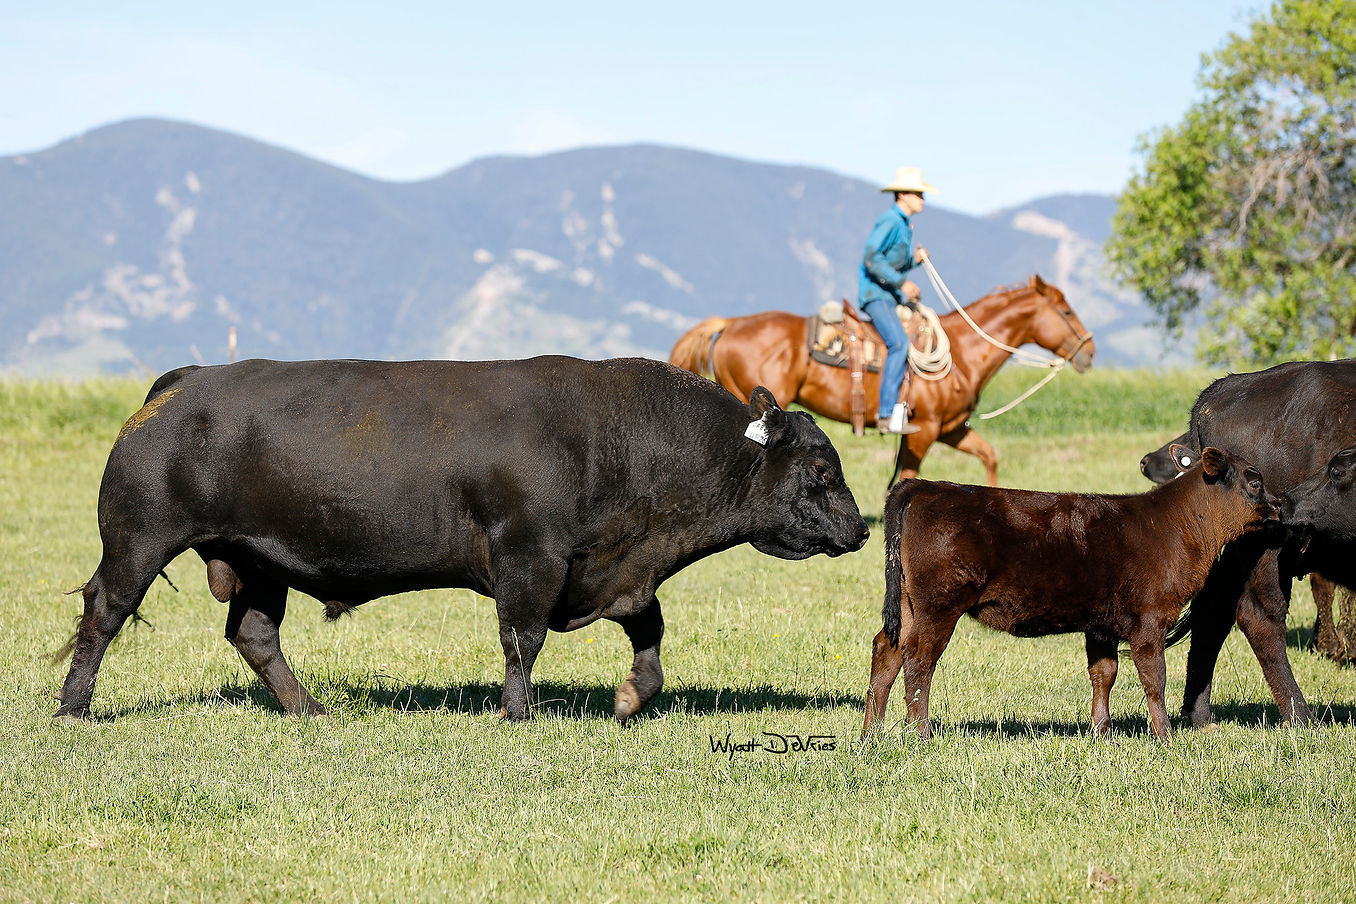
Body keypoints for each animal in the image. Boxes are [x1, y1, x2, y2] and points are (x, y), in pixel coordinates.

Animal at [55, 357, 870, 724]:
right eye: (821, 469)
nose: (862, 529)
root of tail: (184, 380)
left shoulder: (616, 569)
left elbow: (651, 632)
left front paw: (630, 696)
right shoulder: (529, 556)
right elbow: (522, 637)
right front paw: (517, 713)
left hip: (258, 561)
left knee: (253, 634)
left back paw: (307, 709)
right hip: (137, 542)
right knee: (103, 614)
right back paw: (73, 708)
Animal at [862, 446, 1280, 741]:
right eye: (1254, 482)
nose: (1279, 505)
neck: (1172, 525)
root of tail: (927, 486)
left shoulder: (1101, 625)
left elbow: (1104, 674)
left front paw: (1102, 733)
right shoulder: (1149, 622)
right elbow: (1154, 679)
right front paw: (1164, 736)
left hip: (908, 605)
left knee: (887, 650)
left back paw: (871, 734)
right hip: (938, 606)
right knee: (919, 661)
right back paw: (920, 734)